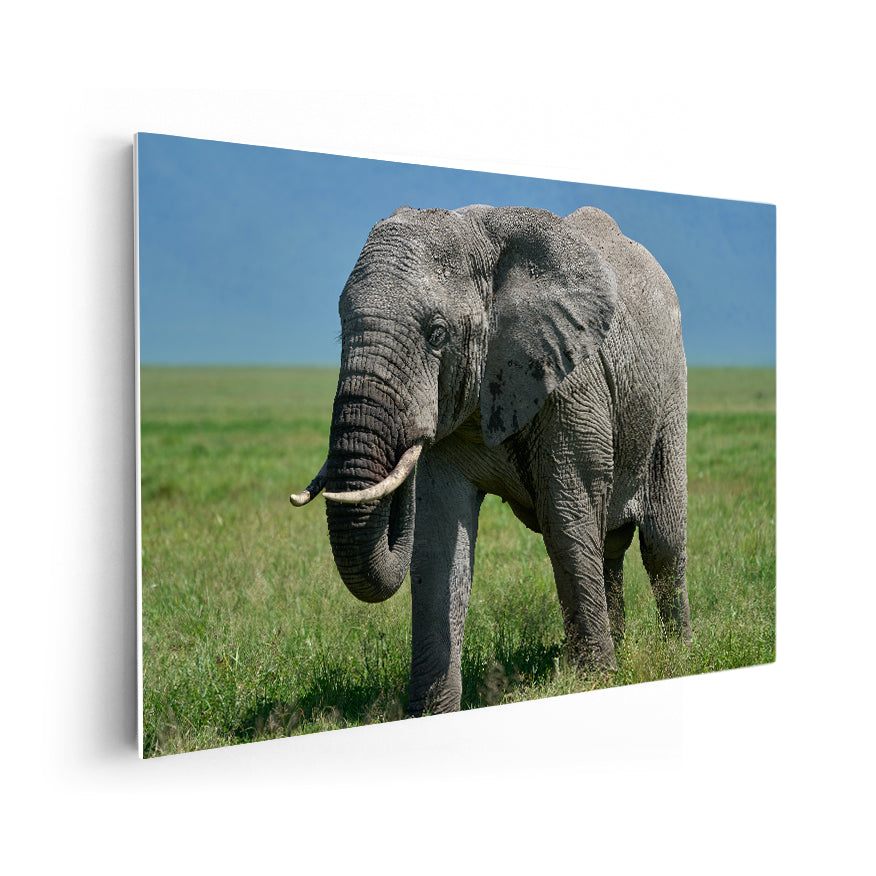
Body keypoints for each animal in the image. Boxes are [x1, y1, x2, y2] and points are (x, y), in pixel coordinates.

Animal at [291, 204, 690, 716]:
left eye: (437, 334)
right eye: (341, 330)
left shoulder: (571, 382)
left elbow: (566, 519)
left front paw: (594, 682)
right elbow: (439, 542)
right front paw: (430, 711)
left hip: (669, 390)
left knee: (661, 541)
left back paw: (679, 653)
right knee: (609, 543)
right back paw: (622, 645)